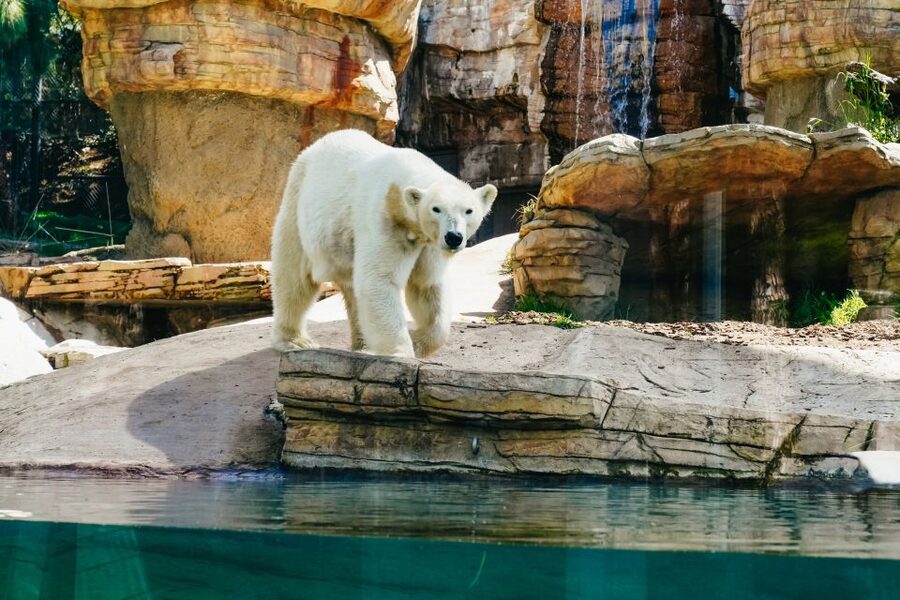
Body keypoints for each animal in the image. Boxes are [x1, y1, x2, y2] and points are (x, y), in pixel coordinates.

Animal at [270, 129, 497, 358]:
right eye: (436, 209)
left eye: (468, 210)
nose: (453, 237)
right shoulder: (385, 220)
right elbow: (378, 281)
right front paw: (402, 352)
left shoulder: (429, 242)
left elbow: (426, 284)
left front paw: (417, 340)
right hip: (297, 203)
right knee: (293, 277)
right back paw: (296, 341)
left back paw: (364, 346)